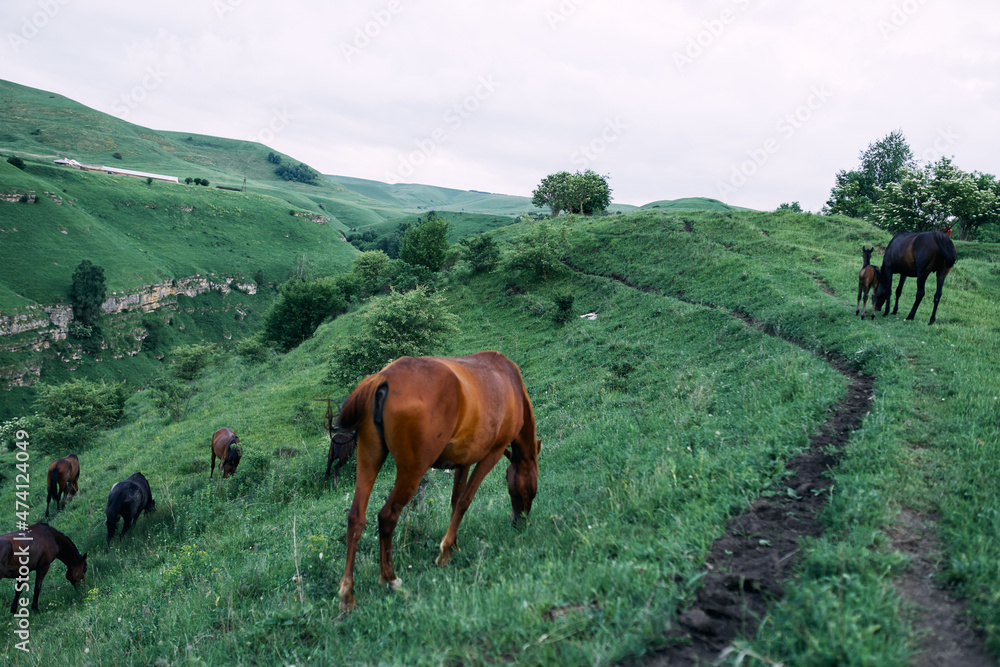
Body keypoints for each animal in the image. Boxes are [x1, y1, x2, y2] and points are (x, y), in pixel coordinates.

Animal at [334, 352, 540, 612]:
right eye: (531, 487)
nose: (519, 521)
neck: (510, 383)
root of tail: (384, 377)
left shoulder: (463, 462)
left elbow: (455, 502)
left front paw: (453, 546)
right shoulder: (490, 455)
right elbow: (464, 502)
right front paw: (444, 551)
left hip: (369, 457)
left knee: (356, 518)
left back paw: (347, 593)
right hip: (413, 470)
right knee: (388, 516)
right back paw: (390, 578)